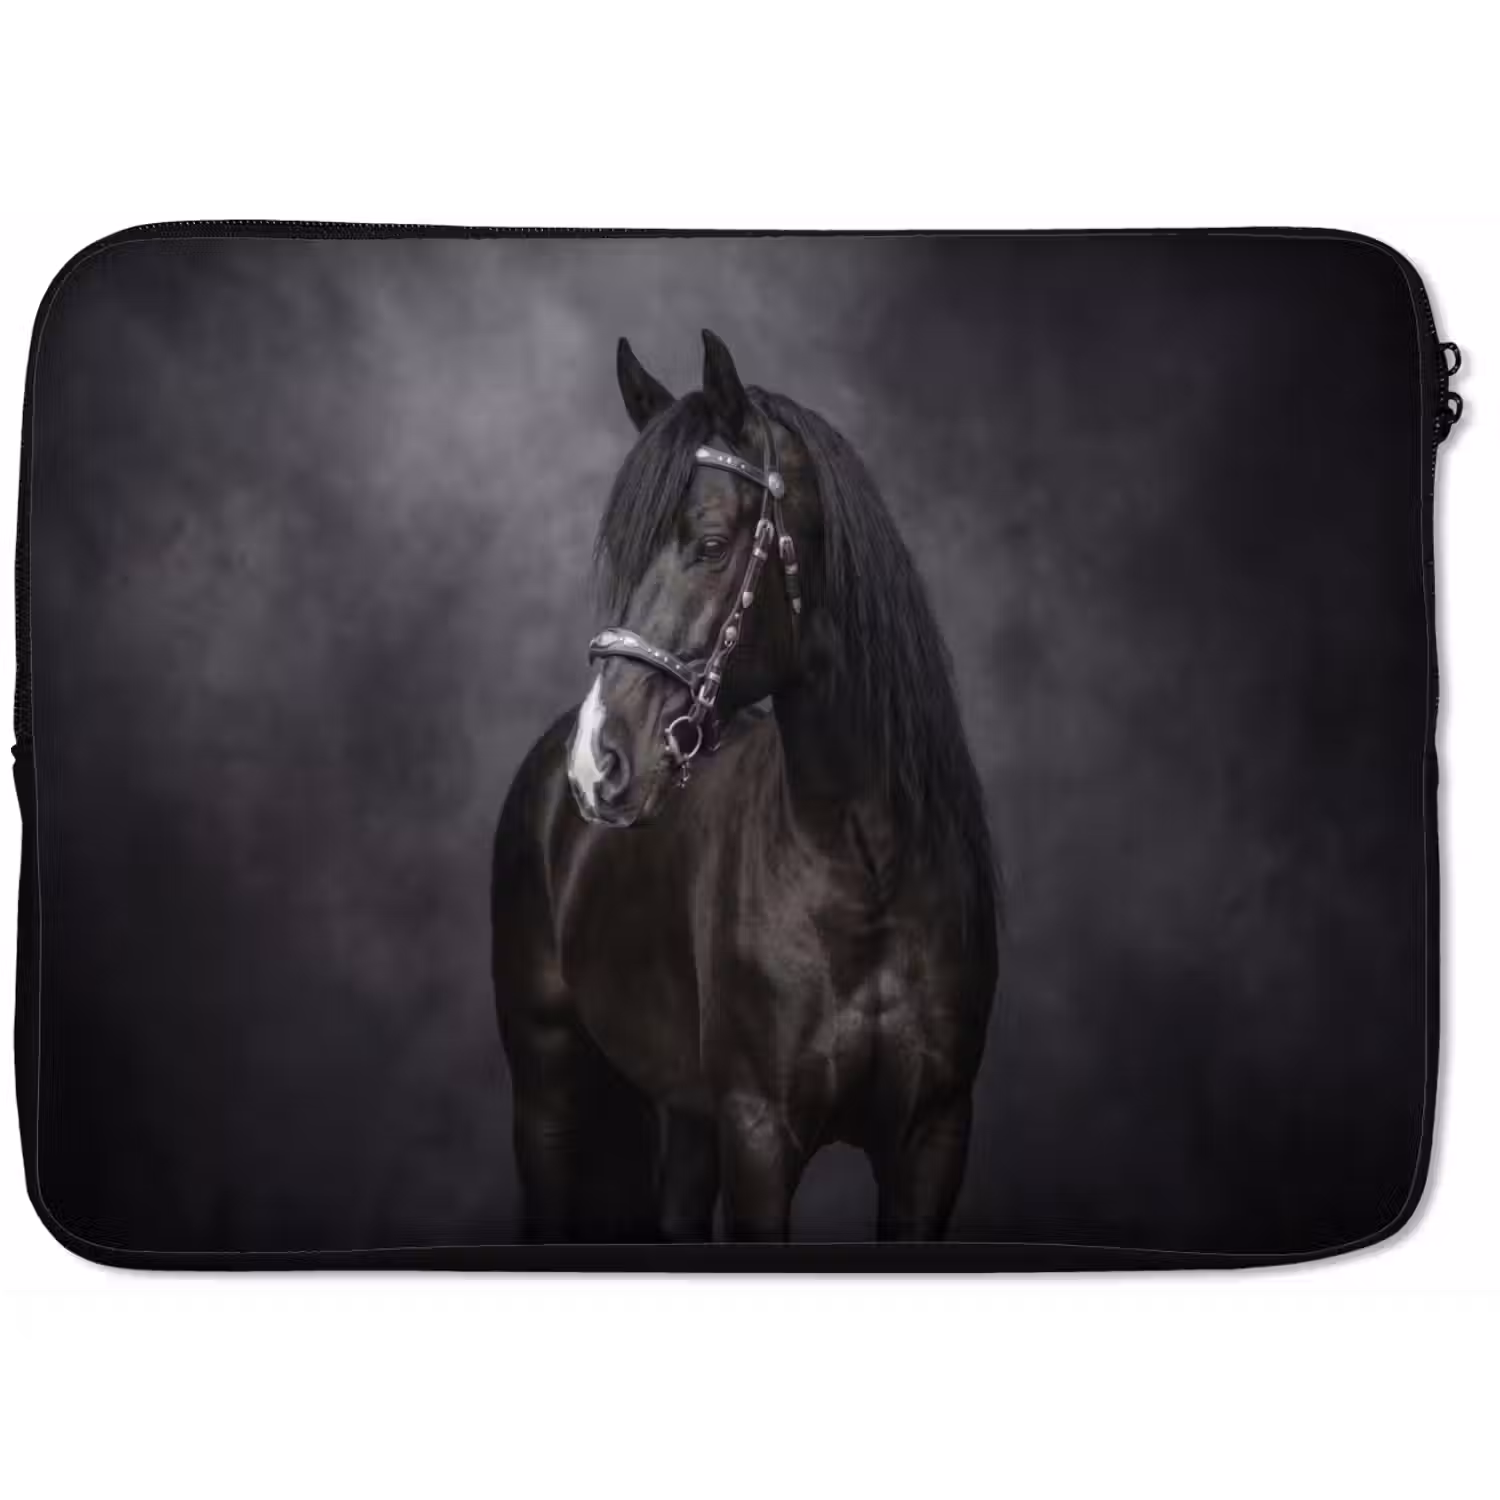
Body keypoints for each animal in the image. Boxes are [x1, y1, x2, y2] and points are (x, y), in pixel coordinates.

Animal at [490, 329, 999, 1244]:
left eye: (712, 543)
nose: (599, 762)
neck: (867, 869)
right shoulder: (760, 1132)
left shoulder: (934, 1136)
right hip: (546, 1087)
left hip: (688, 1114)